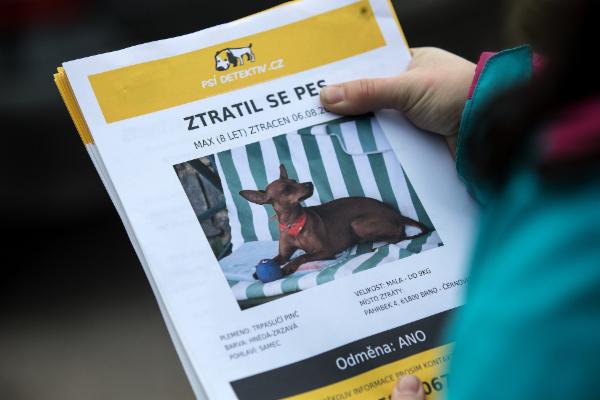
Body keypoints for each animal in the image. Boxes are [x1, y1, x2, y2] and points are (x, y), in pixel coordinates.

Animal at [240, 164, 429, 277]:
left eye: (295, 180)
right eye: (287, 189)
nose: (309, 184)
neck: (293, 223)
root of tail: (396, 213)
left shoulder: (325, 251)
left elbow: (303, 256)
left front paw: (289, 267)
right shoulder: (283, 254)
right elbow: (274, 259)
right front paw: (260, 270)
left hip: (357, 224)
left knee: (400, 235)